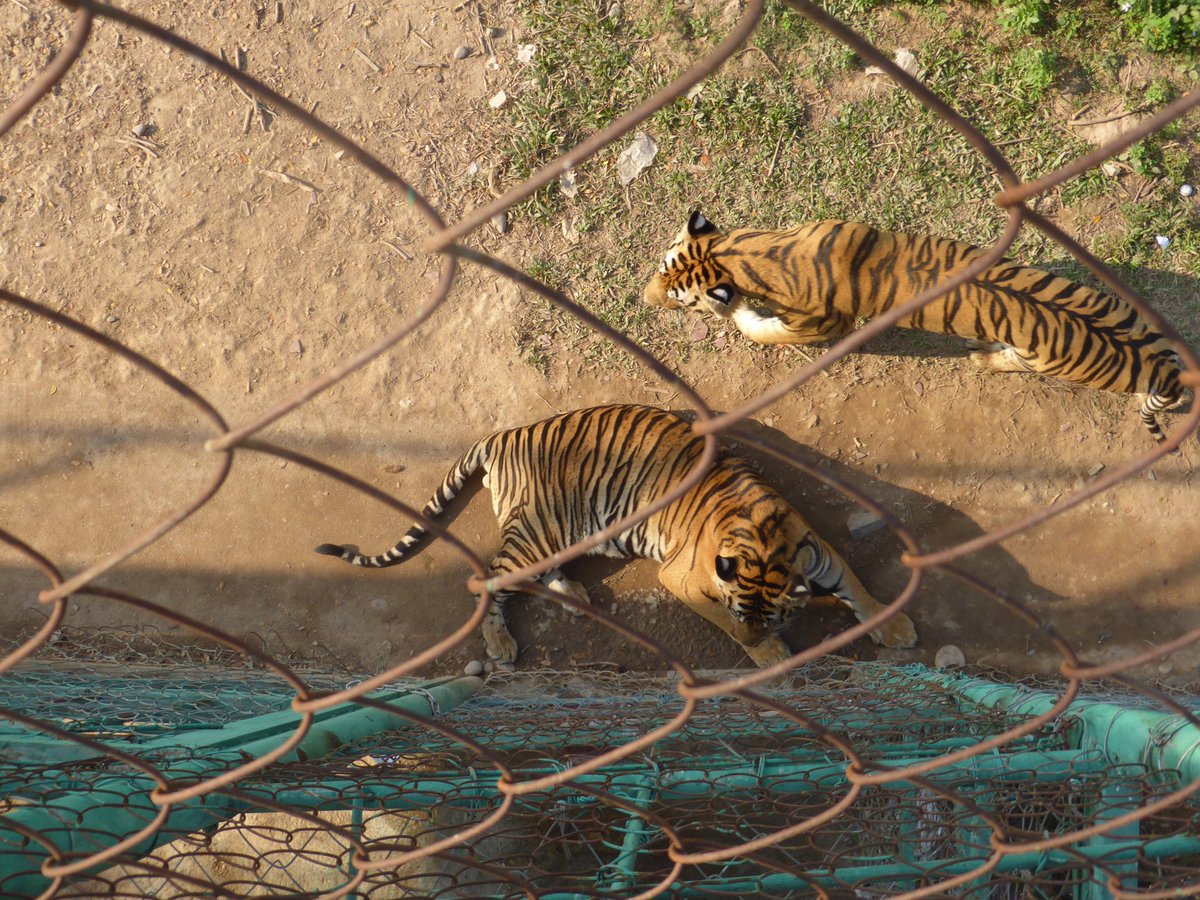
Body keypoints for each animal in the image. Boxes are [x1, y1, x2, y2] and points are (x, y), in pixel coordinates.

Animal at [314, 404, 916, 668]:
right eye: (745, 617)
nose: (760, 637)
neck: (766, 544)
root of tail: (504, 435)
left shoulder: (821, 552)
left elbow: (859, 589)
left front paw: (894, 627)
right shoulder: (681, 578)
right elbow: (718, 618)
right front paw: (767, 654)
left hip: (556, 536)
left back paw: (574, 595)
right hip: (539, 532)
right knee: (489, 580)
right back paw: (501, 644)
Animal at [644, 211, 1188, 443]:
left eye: (677, 298)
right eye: (663, 264)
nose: (644, 296)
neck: (740, 253)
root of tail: (1159, 368)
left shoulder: (823, 322)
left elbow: (766, 329)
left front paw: (736, 314)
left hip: (1045, 359)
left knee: (1012, 362)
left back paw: (981, 355)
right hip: (1133, 315)